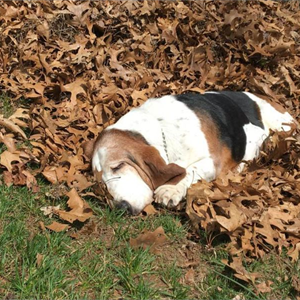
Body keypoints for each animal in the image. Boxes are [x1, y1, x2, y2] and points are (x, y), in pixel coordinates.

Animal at [91, 90, 292, 214]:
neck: (161, 126)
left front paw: (170, 189)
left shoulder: (215, 159)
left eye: (118, 166)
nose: (120, 207)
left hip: (283, 126)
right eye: (101, 184)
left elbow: (189, 170)